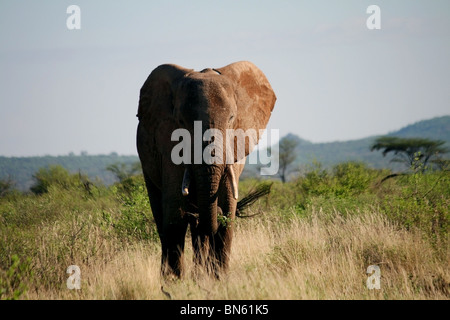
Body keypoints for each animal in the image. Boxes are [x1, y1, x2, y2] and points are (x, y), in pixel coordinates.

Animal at [135, 60, 276, 278]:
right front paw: (175, 282)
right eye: (181, 122)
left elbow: (228, 211)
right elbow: (175, 215)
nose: (214, 211)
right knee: (163, 217)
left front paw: (219, 279)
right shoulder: (167, 144)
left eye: (231, 118)